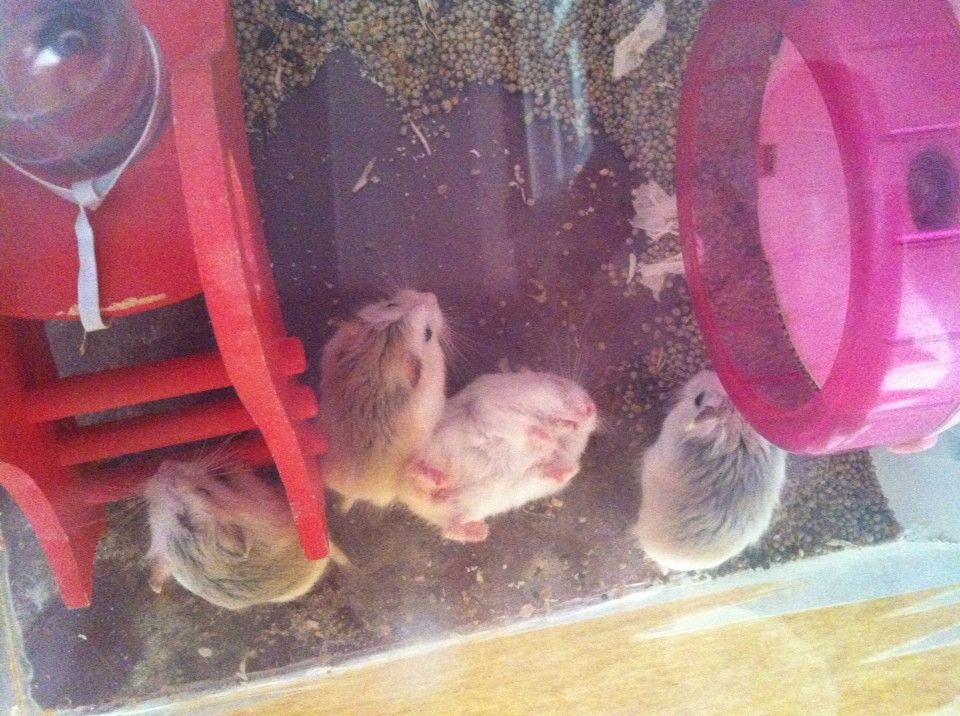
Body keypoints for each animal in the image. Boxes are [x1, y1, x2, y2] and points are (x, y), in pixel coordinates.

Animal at [398, 370, 598, 542]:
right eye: (556, 382)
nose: (592, 407)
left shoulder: (538, 474)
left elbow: (549, 467)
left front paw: (572, 469)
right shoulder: (491, 409)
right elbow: (525, 426)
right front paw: (546, 438)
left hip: (459, 510)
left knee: (449, 528)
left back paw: (480, 531)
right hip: (428, 452)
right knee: (411, 471)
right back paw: (436, 479)